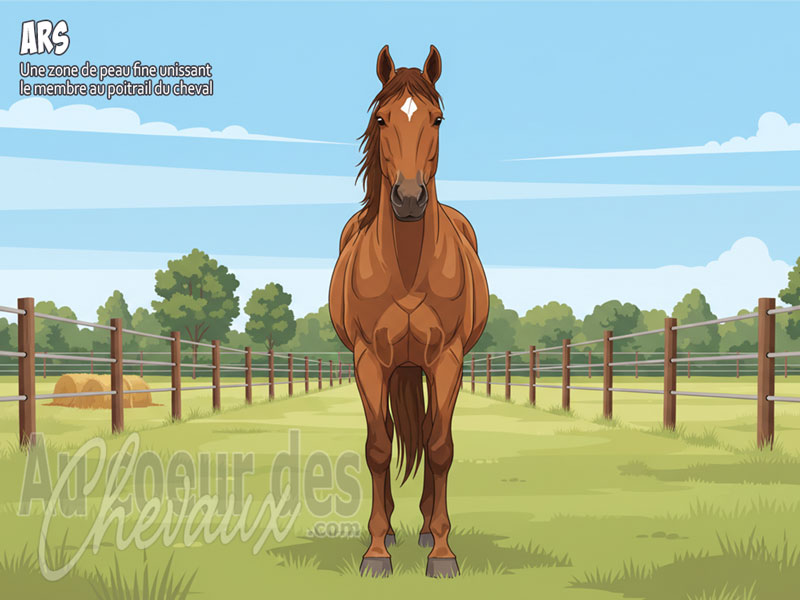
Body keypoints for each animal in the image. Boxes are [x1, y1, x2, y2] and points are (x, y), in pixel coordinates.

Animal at [328, 45, 489, 578]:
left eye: (437, 120)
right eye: (381, 119)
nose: (409, 198)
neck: (406, 265)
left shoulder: (447, 359)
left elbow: (440, 448)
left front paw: (442, 552)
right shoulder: (368, 359)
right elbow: (378, 448)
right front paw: (376, 551)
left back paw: (423, 530)